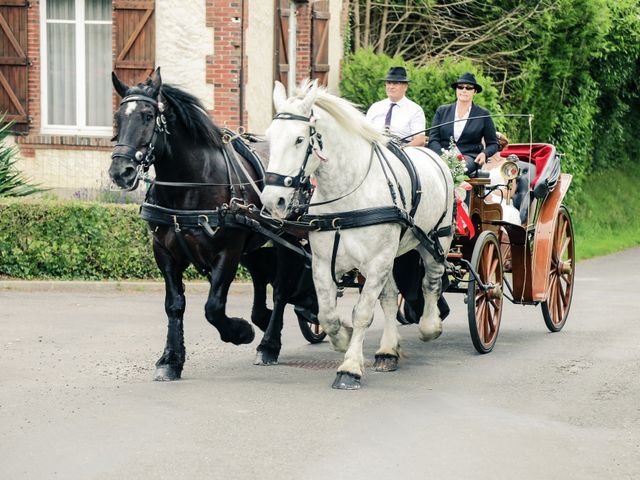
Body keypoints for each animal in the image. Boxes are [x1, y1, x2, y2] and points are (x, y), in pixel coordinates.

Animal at [111, 67, 318, 380]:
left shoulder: (227, 251)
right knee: (261, 274)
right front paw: (171, 359)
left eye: (147, 116)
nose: (119, 171)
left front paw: (240, 332)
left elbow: (213, 307)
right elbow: (174, 305)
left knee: (282, 289)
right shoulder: (164, 253)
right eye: (118, 118)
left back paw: (269, 343)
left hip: (289, 237)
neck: (190, 185)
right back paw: (264, 318)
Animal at [260, 81, 456, 390]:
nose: (272, 201)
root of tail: (436, 157)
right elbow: (328, 314)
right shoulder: (323, 263)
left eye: (299, 140)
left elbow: (363, 313)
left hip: (436, 241)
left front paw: (350, 367)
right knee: (390, 296)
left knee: (431, 283)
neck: (347, 196)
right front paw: (344, 339)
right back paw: (388, 350)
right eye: (269, 137)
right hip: (391, 255)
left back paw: (430, 326)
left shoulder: (376, 262)